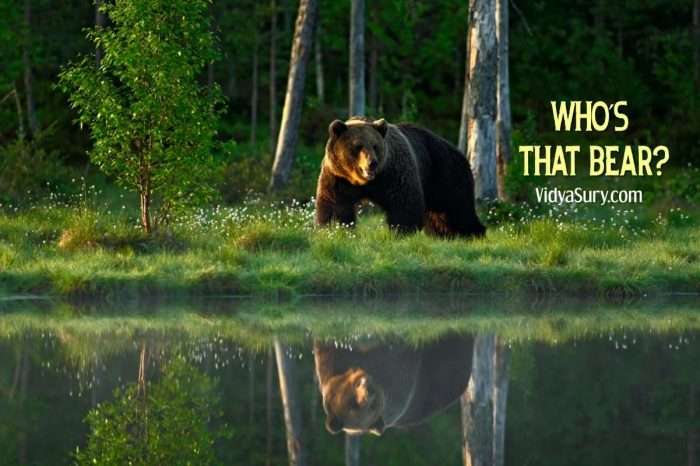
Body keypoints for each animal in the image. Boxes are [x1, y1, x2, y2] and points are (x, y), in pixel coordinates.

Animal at [315, 117, 486, 237]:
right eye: (358, 146)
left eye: (375, 146)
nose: (372, 163)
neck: (365, 182)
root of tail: (459, 152)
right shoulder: (338, 178)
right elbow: (335, 206)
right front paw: (334, 229)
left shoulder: (393, 173)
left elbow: (404, 203)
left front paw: (401, 231)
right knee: (439, 215)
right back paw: (443, 234)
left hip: (445, 172)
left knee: (457, 208)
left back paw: (472, 233)